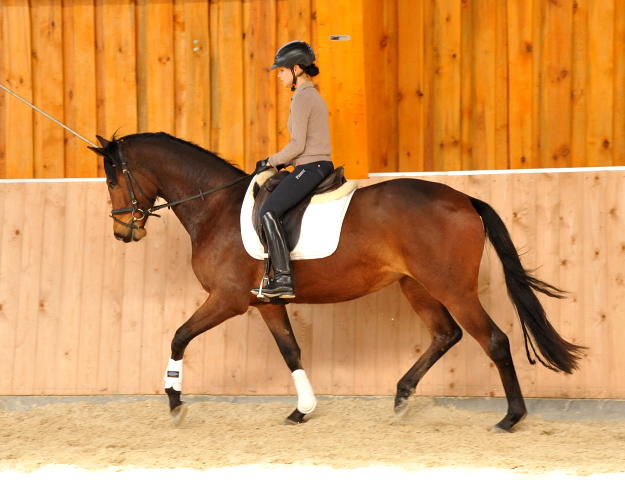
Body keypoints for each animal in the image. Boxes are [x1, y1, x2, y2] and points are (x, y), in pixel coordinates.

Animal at [90, 133, 584, 434]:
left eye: (113, 178)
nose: (122, 231)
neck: (216, 208)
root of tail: (463, 198)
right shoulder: (266, 302)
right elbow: (291, 351)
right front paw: (302, 410)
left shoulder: (228, 300)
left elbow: (178, 335)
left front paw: (175, 402)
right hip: (416, 285)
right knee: (446, 334)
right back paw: (401, 397)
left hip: (452, 289)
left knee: (494, 340)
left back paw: (510, 418)